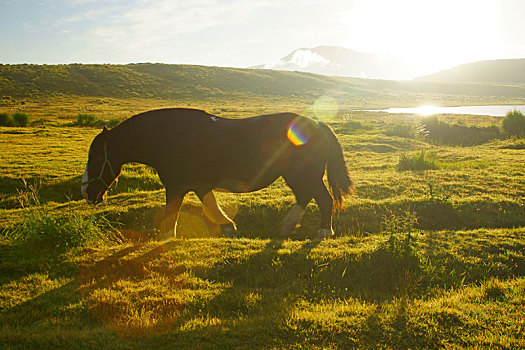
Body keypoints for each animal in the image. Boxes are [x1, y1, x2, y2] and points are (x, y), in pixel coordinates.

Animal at [81, 108, 352, 241]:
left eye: (93, 156)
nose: (85, 191)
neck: (165, 136)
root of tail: (320, 125)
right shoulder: (198, 185)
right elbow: (210, 204)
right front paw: (229, 226)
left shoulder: (176, 186)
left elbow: (173, 212)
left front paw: (167, 238)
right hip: (296, 176)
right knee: (305, 197)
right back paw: (287, 227)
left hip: (304, 175)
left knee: (323, 199)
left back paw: (324, 233)